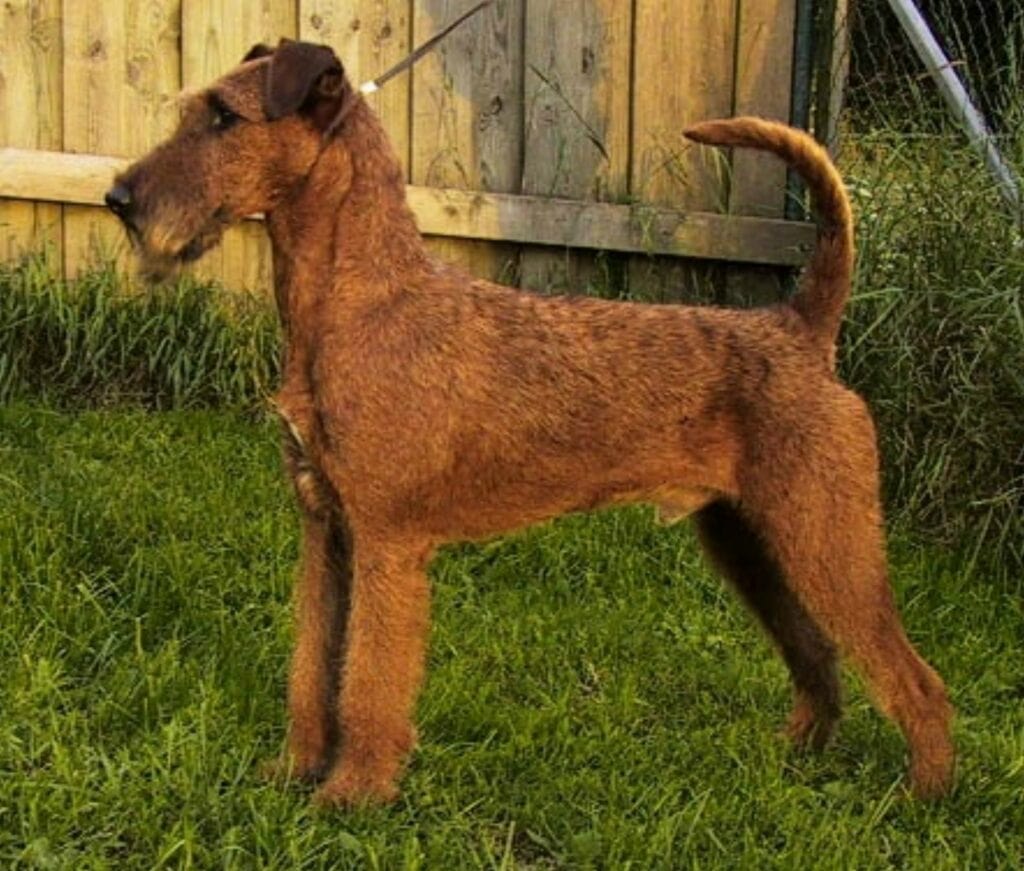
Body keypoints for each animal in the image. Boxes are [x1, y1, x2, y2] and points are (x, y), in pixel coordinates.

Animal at [103, 39, 950, 802]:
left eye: (223, 117)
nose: (119, 199)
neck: (359, 307)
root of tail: (802, 329)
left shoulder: (387, 542)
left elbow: (368, 681)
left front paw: (353, 795)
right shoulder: (325, 530)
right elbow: (313, 668)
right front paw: (294, 773)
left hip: (825, 537)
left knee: (916, 676)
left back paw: (925, 796)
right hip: (752, 541)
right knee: (817, 654)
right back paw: (797, 755)